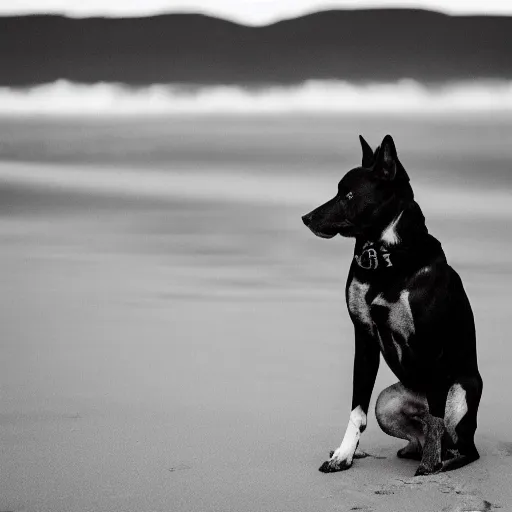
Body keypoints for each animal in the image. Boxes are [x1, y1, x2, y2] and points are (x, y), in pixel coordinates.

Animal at [302, 133, 482, 476]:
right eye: (338, 192)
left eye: (348, 195)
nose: (306, 218)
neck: (385, 258)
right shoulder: (364, 338)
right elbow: (357, 411)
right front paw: (344, 454)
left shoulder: (432, 346)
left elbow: (436, 420)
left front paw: (430, 466)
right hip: (387, 403)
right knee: (421, 434)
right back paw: (412, 451)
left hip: (461, 393)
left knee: (458, 440)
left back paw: (443, 459)